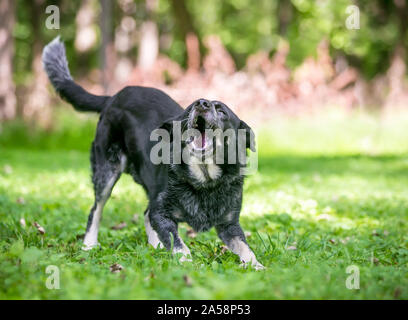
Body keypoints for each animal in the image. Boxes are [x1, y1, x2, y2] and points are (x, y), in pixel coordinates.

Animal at [41, 37, 264, 270]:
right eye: (189, 108)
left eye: (221, 111)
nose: (201, 103)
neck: (204, 180)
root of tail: (112, 97)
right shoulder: (162, 212)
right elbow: (178, 242)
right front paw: (185, 262)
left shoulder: (230, 224)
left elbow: (245, 248)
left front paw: (258, 267)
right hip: (107, 172)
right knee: (96, 210)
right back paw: (89, 245)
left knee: (144, 214)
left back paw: (155, 247)